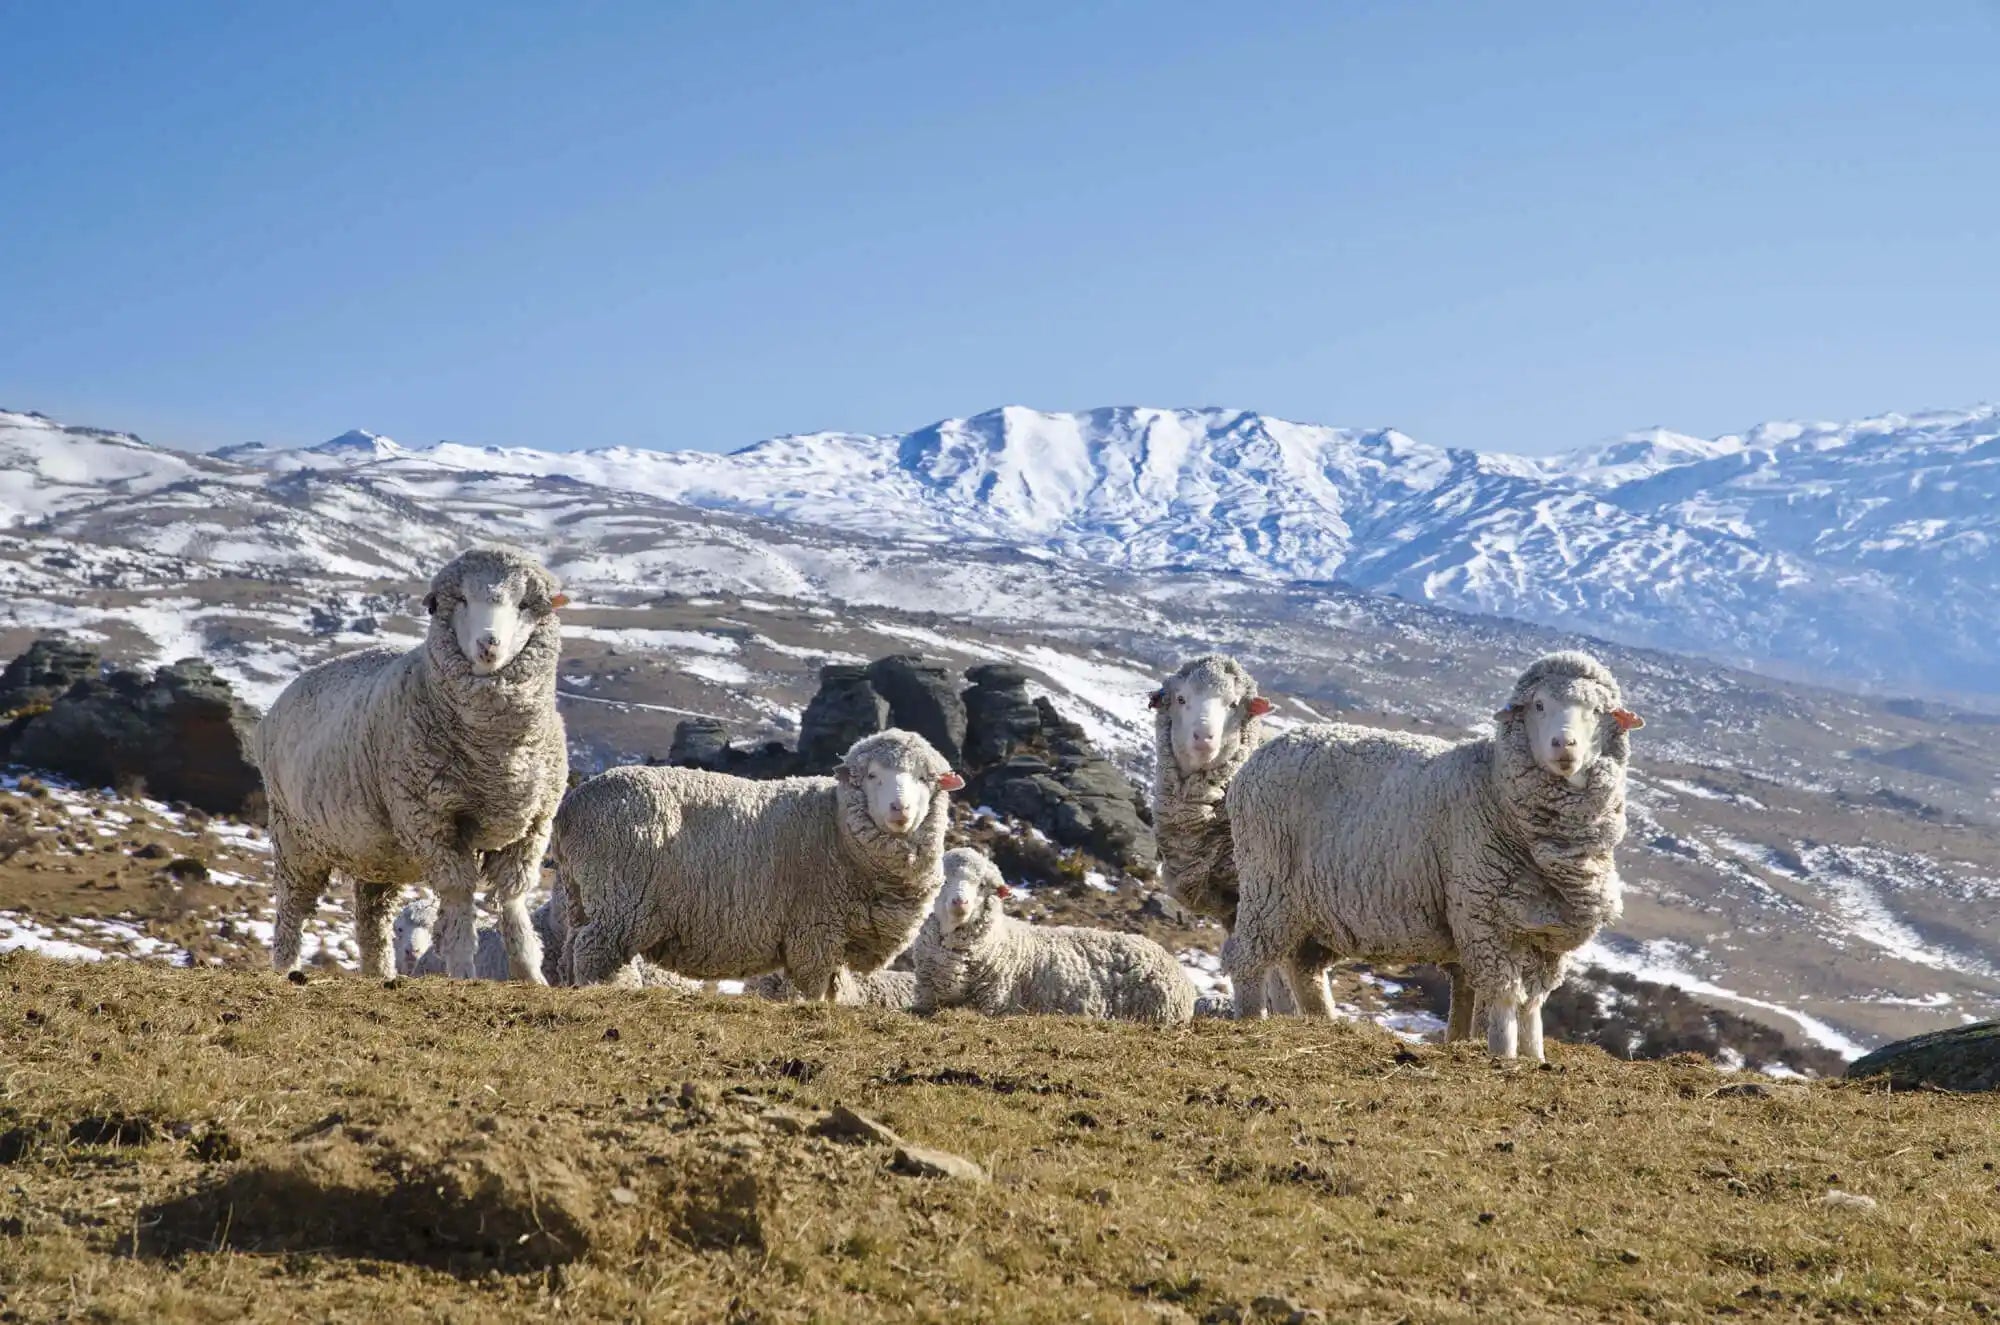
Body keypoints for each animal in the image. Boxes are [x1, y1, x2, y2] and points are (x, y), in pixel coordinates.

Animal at [255, 547, 571, 982]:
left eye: (524, 604)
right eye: (461, 601)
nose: (488, 644)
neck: (495, 758)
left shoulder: (532, 827)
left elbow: (512, 899)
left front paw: (529, 972)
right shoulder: (433, 820)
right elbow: (458, 894)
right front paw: (463, 968)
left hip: (374, 852)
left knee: (371, 918)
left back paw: (379, 974)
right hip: (294, 838)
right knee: (292, 909)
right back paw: (285, 967)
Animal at [555, 729, 962, 996]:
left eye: (925, 779)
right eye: (873, 776)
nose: (900, 809)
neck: (838, 825)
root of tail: (571, 806)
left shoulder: (838, 938)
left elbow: (836, 989)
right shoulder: (814, 928)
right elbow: (814, 989)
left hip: (582, 895)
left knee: (571, 947)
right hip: (620, 898)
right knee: (592, 950)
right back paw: (600, 994)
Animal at [1221, 651, 1644, 1059]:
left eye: (1596, 710)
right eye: (1539, 705)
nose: (1564, 745)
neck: (1494, 786)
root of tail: (1256, 761)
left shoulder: (1547, 935)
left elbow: (1532, 1005)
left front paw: (1534, 1057)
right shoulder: (1483, 917)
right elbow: (1505, 998)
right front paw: (1504, 1055)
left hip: (1312, 908)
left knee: (1303, 969)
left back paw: (1324, 1023)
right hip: (1268, 883)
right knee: (1247, 959)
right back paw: (1251, 1020)